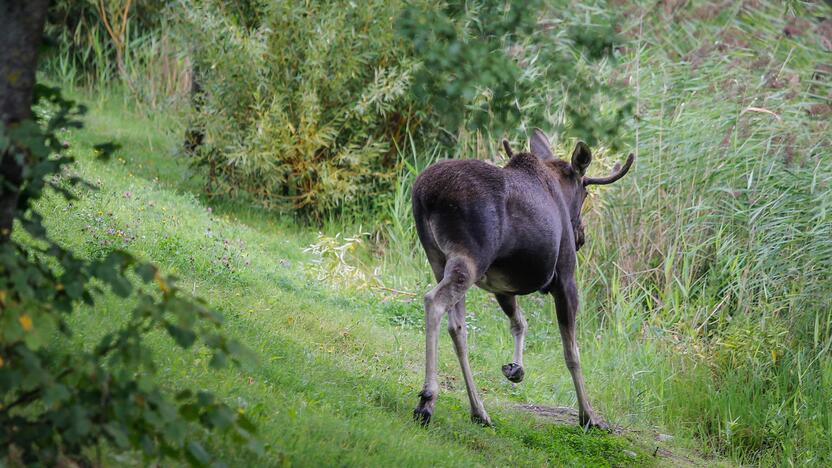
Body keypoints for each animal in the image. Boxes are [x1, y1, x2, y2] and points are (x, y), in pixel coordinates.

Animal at [412, 128, 632, 428]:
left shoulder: (502, 287)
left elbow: (519, 323)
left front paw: (515, 368)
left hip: (438, 259)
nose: (581, 236)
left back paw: (478, 410)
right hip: (470, 257)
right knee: (434, 303)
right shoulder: (565, 279)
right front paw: (588, 415)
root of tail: (425, 194)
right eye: (585, 191)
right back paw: (427, 399)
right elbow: (572, 353)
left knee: (457, 326)